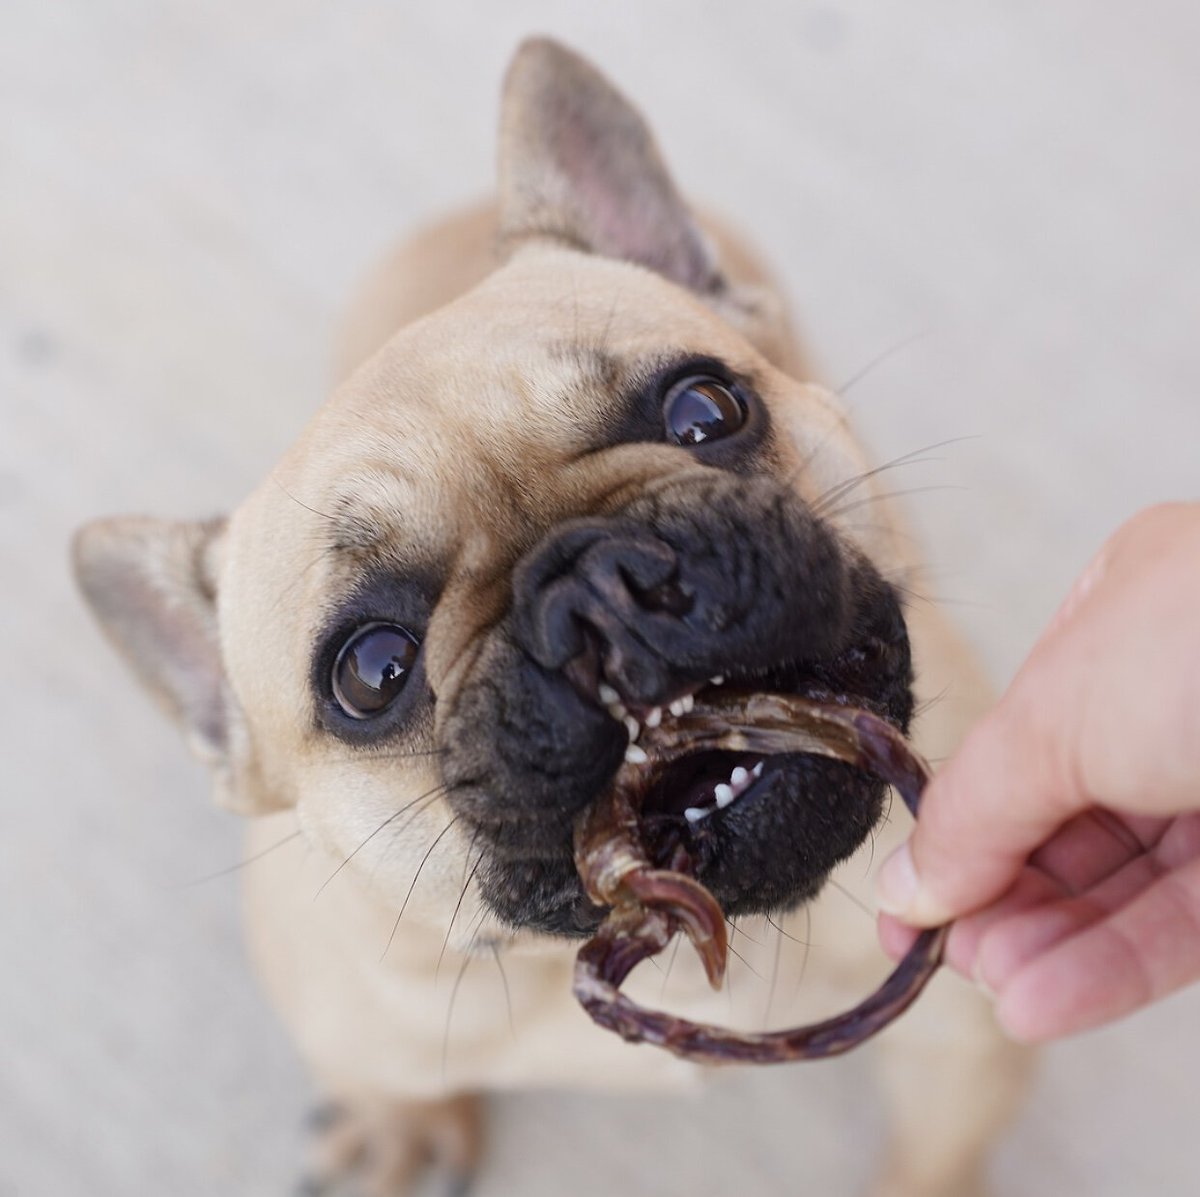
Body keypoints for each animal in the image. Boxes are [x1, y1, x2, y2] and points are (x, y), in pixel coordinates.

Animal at [75, 37, 1032, 1197]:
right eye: (370, 672)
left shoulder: (964, 1037)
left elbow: (934, 1154)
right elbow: (388, 1078)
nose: (597, 586)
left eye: (705, 410)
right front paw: (403, 1130)